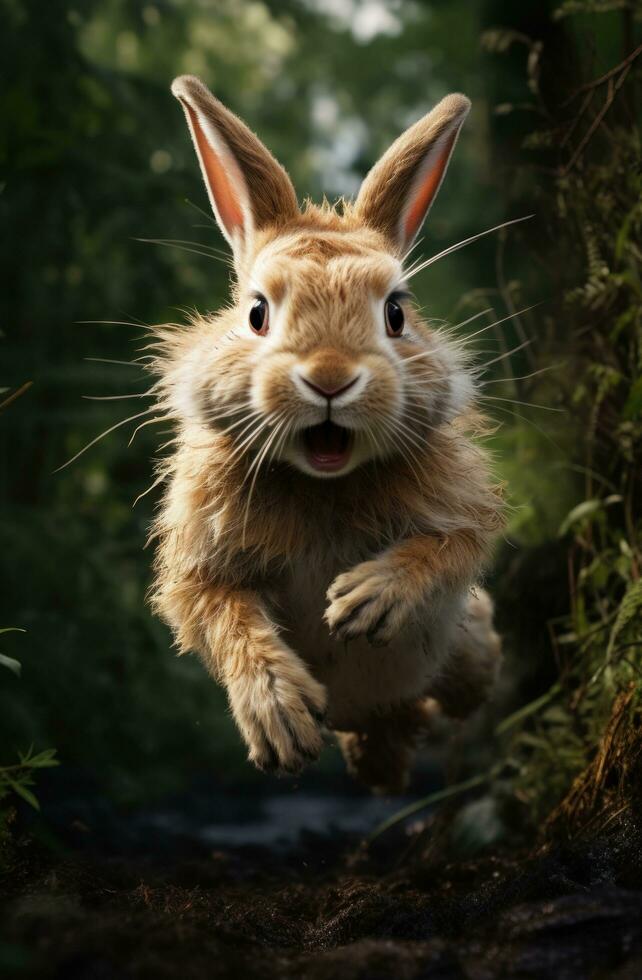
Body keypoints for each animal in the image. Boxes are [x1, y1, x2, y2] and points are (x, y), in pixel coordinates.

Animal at [148, 76, 502, 796]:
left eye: (396, 313)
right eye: (257, 313)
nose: (331, 378)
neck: (322, 482)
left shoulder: (460, 518)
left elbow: (445, 549)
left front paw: (364, 601)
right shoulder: (200, 570)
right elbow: (222, 616)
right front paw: (280, 722)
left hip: (458, 650)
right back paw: (377, 764)